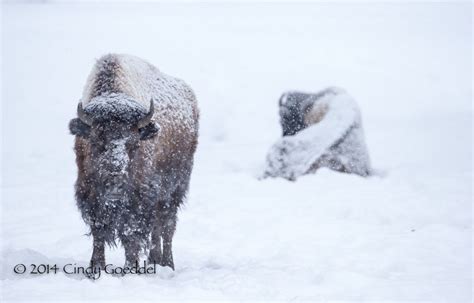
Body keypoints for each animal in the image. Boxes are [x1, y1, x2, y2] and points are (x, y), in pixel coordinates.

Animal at [68, 54, 198, 276]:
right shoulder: (89, 193)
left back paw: (167, 264)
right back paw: (154, 261)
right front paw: (96, 269)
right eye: (95, 141)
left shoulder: (140, 198)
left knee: (167, 225)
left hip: (174, 188)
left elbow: (132, 236)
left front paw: (130, 269)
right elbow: (98, 233)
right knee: (157, 227)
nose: (115, 184)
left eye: (134, 143)